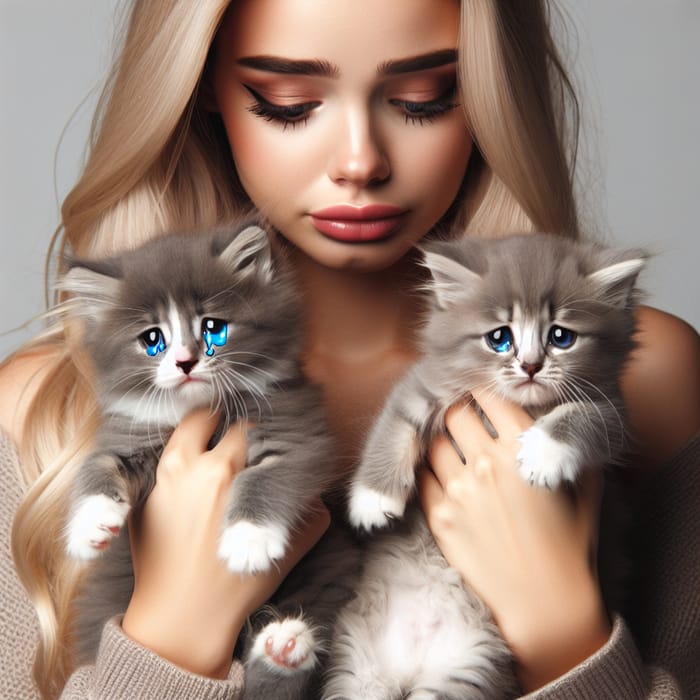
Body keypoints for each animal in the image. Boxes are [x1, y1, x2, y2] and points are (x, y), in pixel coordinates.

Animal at [60, 224, 356, 696]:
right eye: (153, 339)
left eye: (214, 328)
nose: (185, 362)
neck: (202, 412)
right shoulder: (129, 435)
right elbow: (97, 466)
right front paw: (91, 523)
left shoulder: (297, 431)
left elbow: (266, 479)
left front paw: (248, 538)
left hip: (325, 581)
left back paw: (285, 649)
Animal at [326, 234, 644, 700]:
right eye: (499, 338)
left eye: (561, 336)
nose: (530, 365)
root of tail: (407, 670)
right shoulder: (424, 384)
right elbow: (394, 428)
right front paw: (373, 499)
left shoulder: (612, 413)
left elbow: (579, 417)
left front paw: (543, 454)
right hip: (358, 667)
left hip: (465, 669)